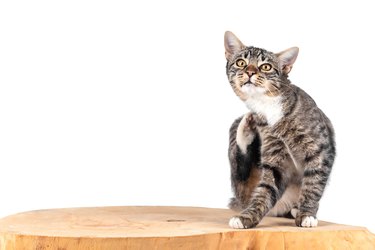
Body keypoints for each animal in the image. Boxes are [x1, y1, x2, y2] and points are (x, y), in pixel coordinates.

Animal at [225, 31, 336, 229]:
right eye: (241, 63)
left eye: (266, 66)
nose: (250, 72)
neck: (266, 104)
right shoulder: (274, 156)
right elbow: (266, 189)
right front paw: (248, 217)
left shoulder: (320, 149)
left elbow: (313, 183)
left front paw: (307, 214)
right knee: (241, 171)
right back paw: (246, 127)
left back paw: (296, 209)